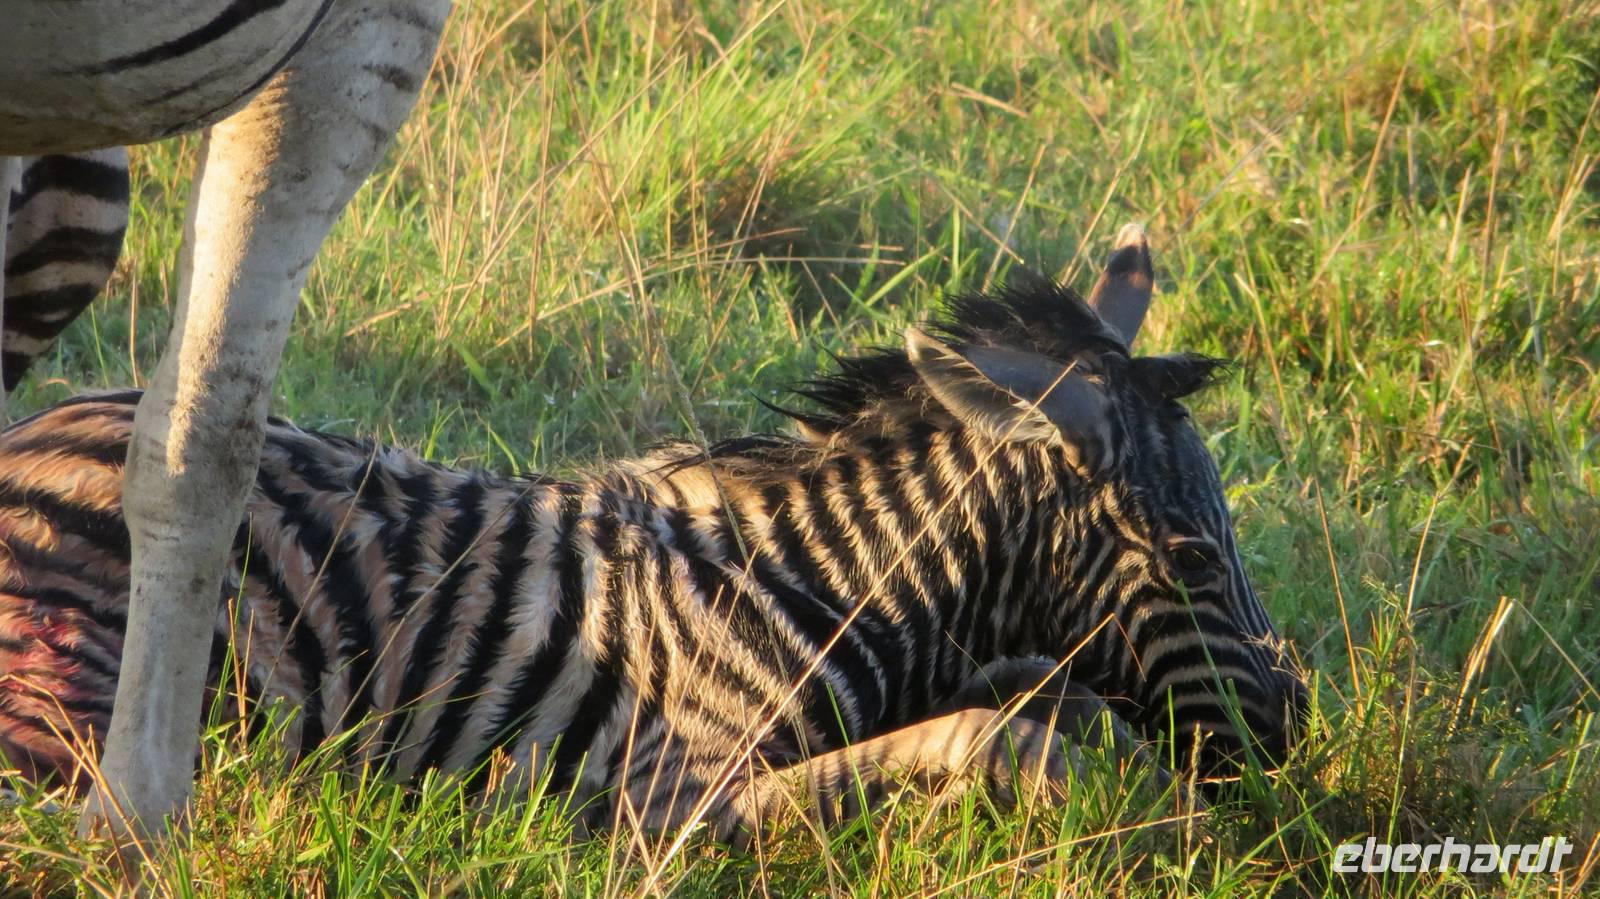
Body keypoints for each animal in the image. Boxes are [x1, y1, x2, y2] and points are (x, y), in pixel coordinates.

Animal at [0, 230, 1309, 838]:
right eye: (1191, 557)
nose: (1293, 738)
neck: (824, 590)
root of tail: (36, 430)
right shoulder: (658, 801)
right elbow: (1001, 740)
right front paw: (1166, 827)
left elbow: (1052, 694)